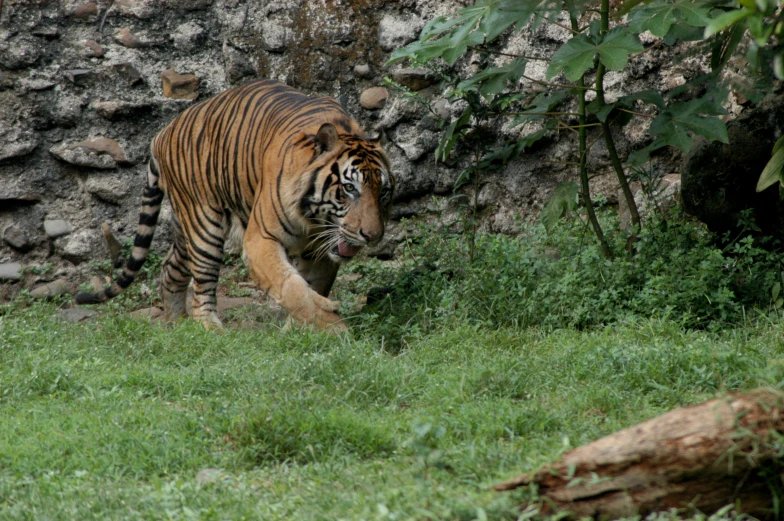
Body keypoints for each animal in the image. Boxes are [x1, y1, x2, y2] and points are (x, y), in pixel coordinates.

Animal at [76, 78, 396, 330]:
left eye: (383, 192)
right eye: (349, 188)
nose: (372, 236)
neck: (314, 219)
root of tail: (162, 134)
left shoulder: (322, 251)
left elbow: (312, 287)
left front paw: (302, 330)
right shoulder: (260, 240)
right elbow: (292, 288)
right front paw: (333, 329)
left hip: (184, 227)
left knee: (170, 268)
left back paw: (175, 324)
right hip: (204, 224)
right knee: (202, 283)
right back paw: (208, 328)